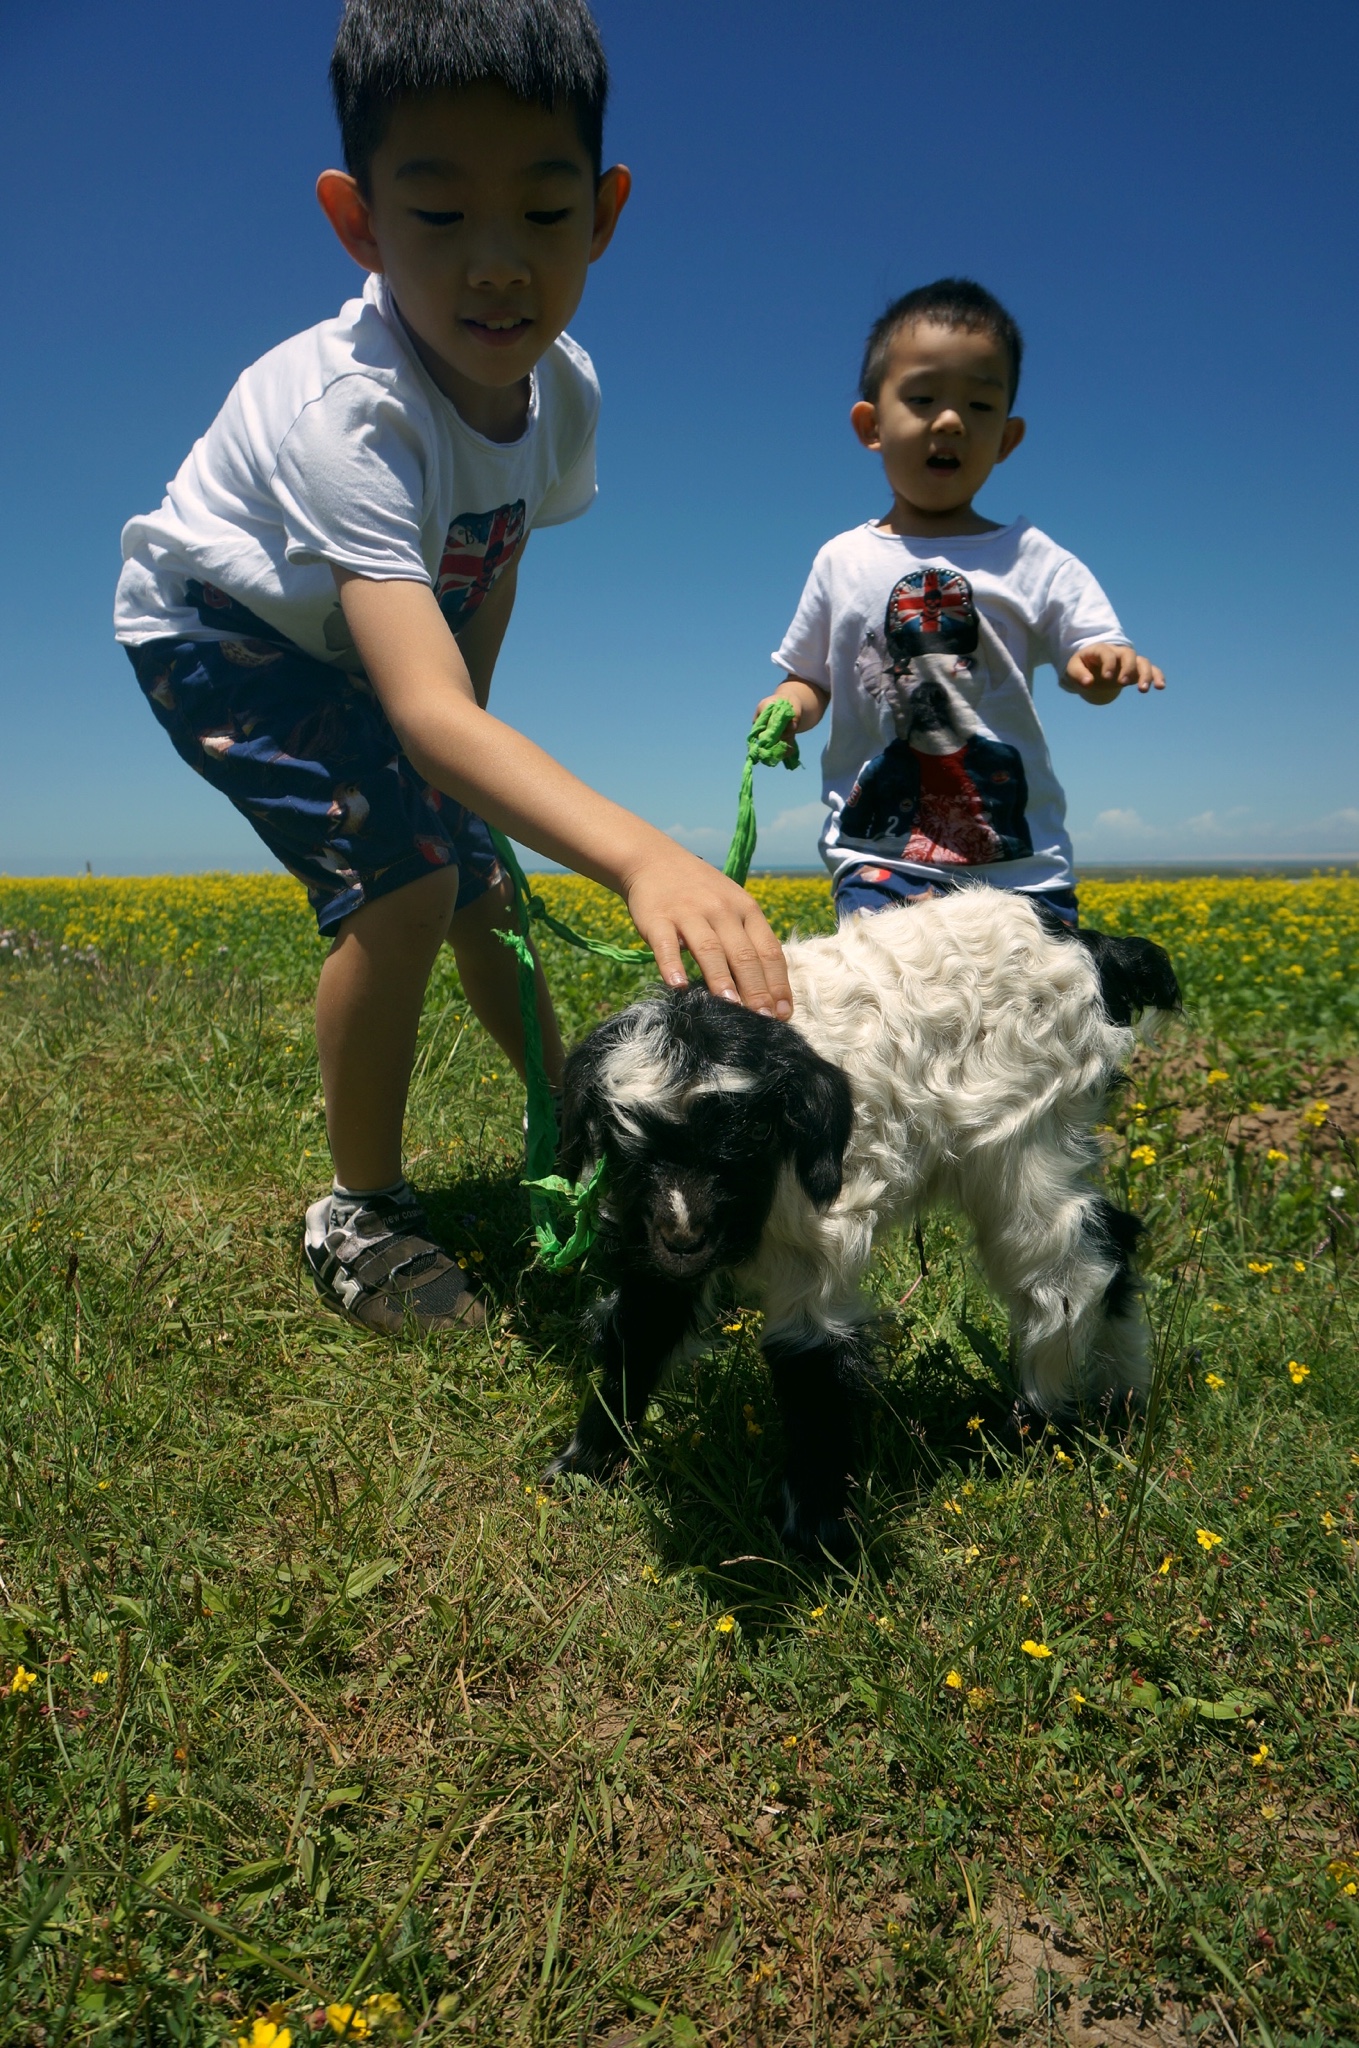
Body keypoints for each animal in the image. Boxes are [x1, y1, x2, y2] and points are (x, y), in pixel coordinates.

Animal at [540, 892, 1178, 1548]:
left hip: (1027, 1131)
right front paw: (586, 1466)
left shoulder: (817, 1239)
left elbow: (811, 1364)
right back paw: (1122, 1401)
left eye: (750, 1140)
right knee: (1112, 1238)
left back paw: (1035, 1430)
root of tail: (1089, 946)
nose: (685, 1239)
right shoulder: (650, 1239)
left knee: (1065, 1271)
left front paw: (817, 1539)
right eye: (626, 1145)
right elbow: (640, 1327)